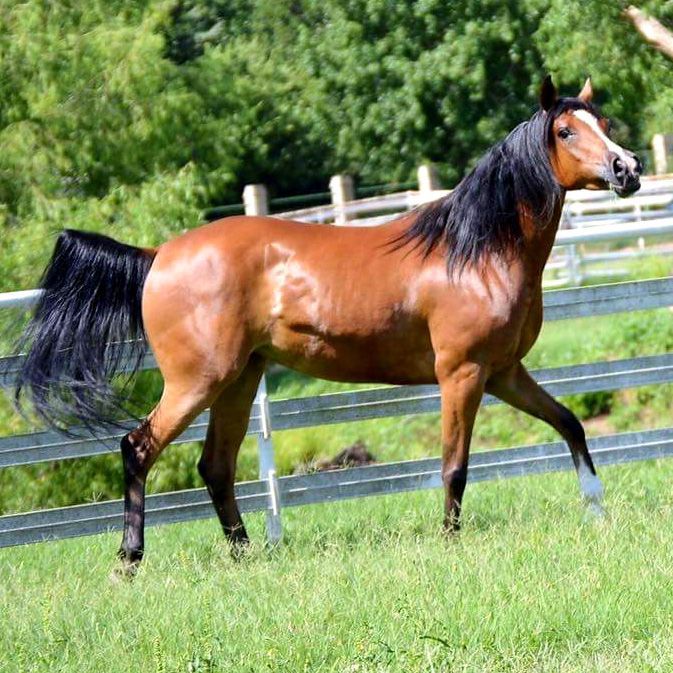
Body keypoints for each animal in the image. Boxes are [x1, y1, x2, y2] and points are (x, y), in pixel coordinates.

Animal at [15, 76, 642, 574]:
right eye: (565, 131)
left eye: (604, 123)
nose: (627, 168)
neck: (475, 252)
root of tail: (157, 255)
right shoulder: (462, 374)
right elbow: (455, 467)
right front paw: (450, 542)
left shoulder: (505, 372)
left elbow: (570, 425)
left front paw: (597, 508)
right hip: (198, 381)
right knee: (138, 446)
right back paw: (129, 559)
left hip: (239, 380)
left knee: (215, 466)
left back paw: (246, 557)